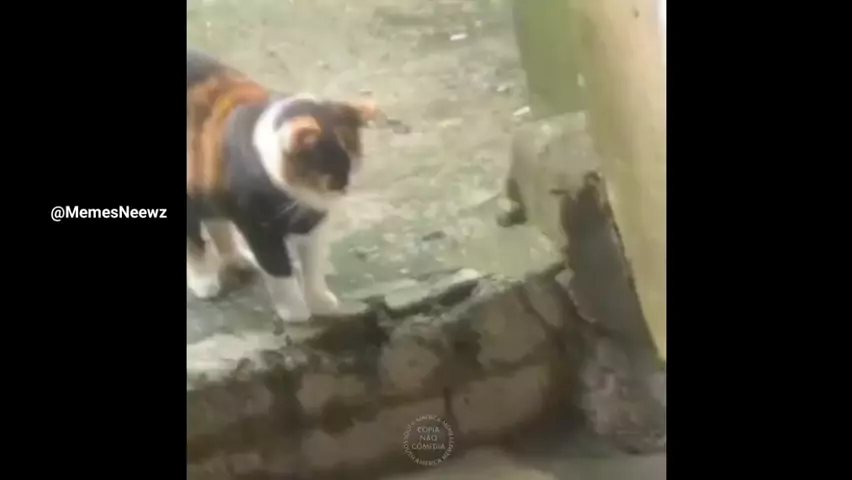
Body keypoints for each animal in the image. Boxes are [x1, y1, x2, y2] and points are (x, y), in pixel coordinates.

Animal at [186, 48, 377, 323]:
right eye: (331, 175)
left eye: (355, 166)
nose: (344, 189)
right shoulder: (261, 228)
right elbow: (278, 269)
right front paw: (295, 312)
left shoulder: (310, 222)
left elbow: (313, 265)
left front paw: (320, 302)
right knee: (195, 239)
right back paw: (204, 282)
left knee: (217, 221)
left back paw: (238, 259)